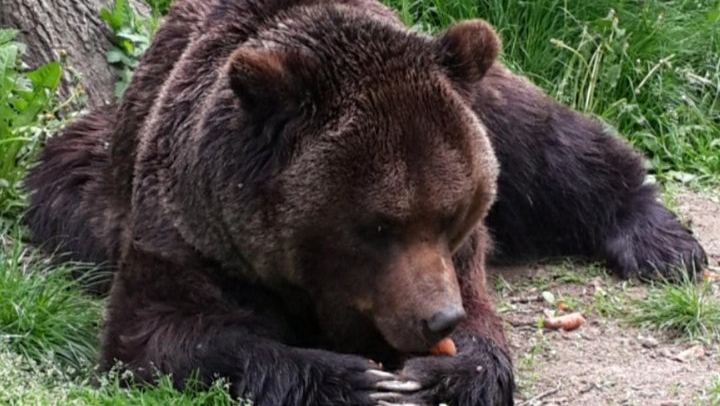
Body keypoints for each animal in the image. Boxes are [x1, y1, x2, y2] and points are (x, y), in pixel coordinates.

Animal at [24, 0, 707, 405]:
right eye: (377, 226)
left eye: (451, 214)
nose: (440, 320)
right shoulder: (191, 232)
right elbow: (160, 332)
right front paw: (354, 379)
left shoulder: (462, 255)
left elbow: (486, 338)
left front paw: (437, 376)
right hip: (88, 191)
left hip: (481, 95)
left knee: (548, 142)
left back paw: (663, 243)